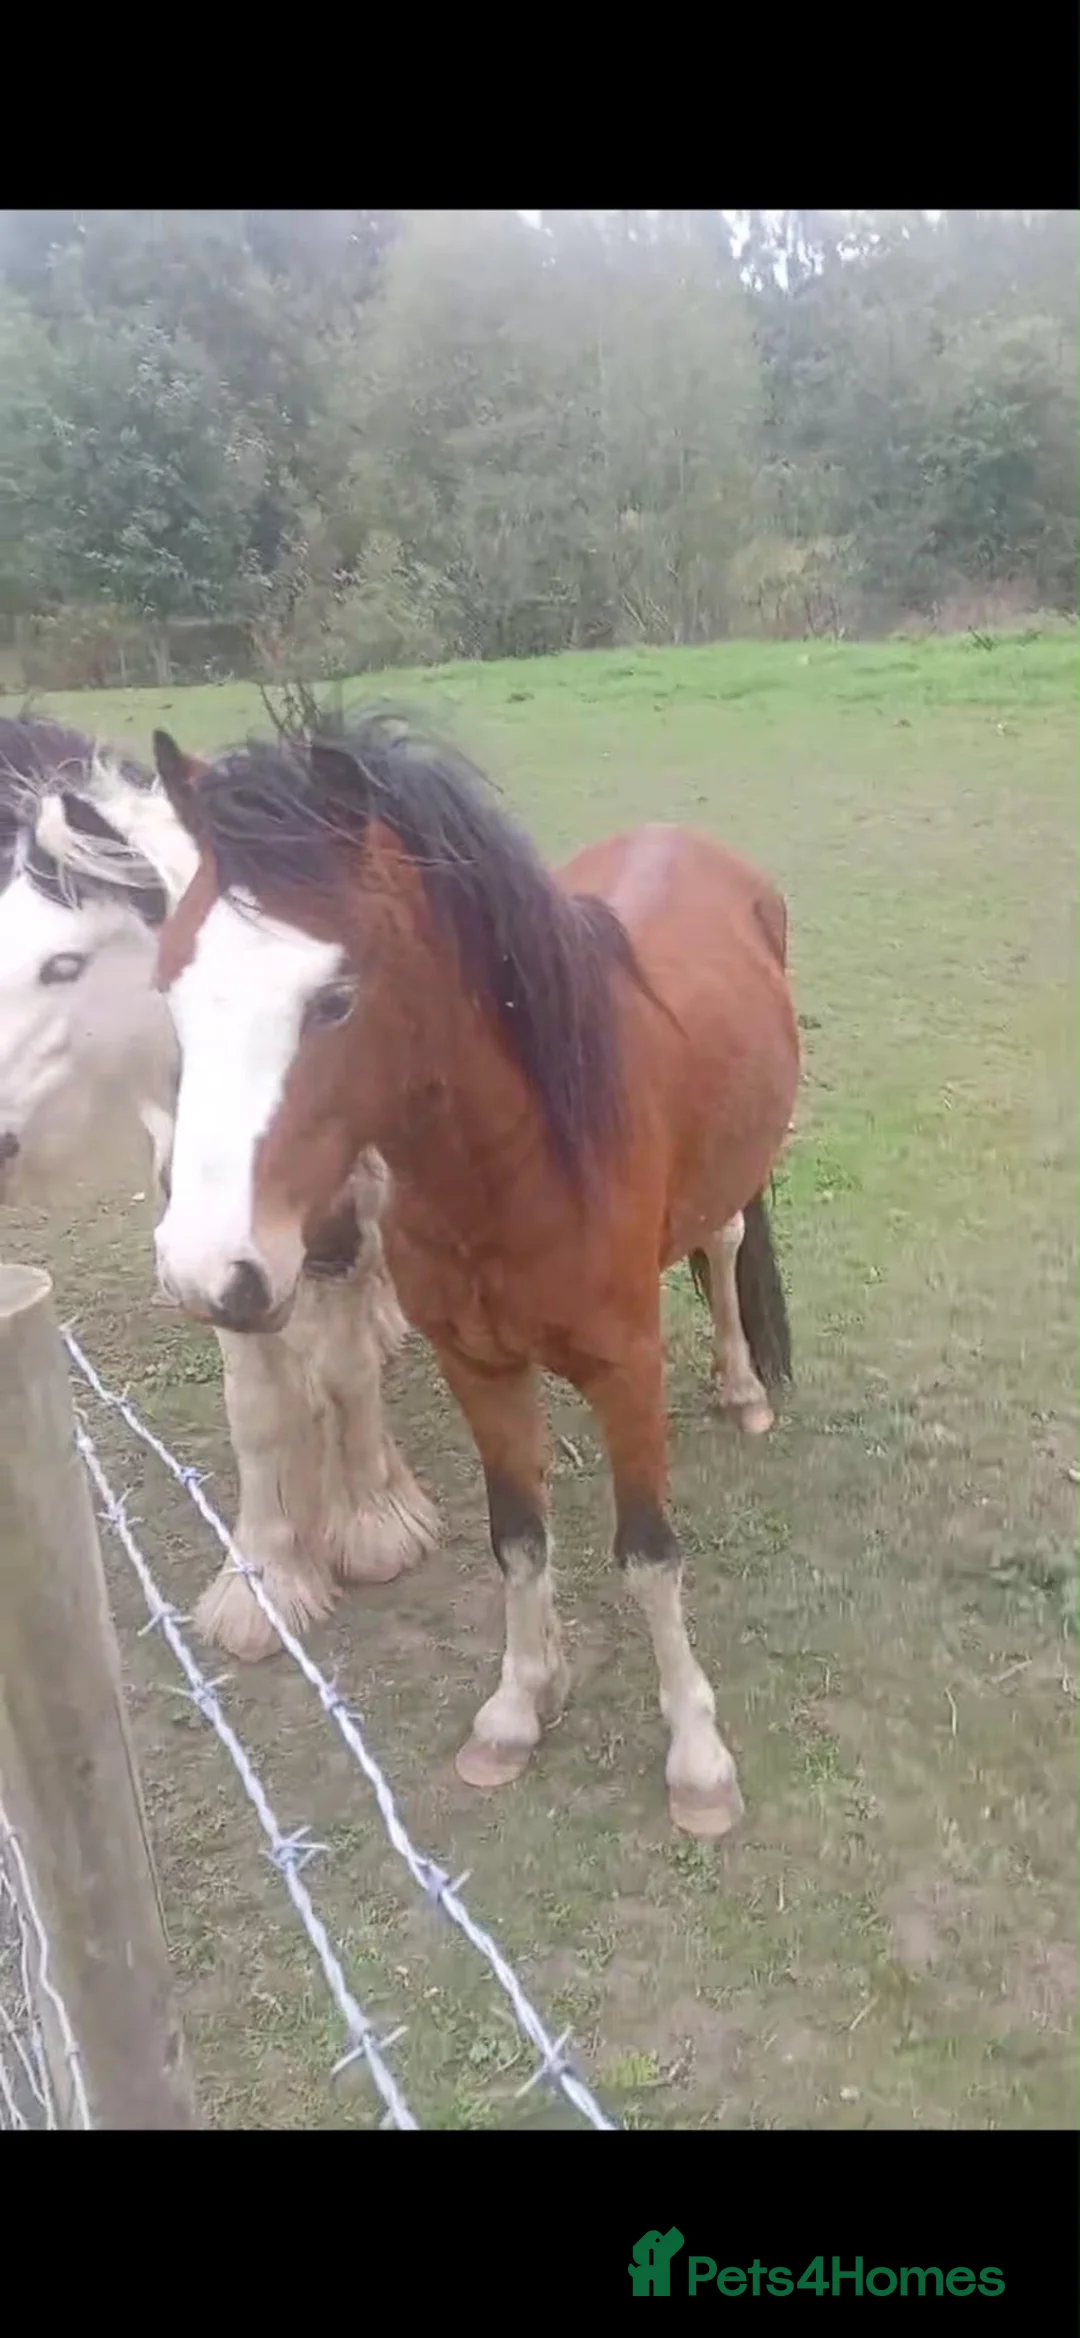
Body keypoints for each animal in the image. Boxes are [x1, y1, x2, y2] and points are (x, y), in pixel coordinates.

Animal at [0, 715, 438, 1659]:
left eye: (62, 965)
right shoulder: (216, 1258)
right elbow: (259, 1407)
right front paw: (268, 1575)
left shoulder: (340, 1228)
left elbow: (344, 1372)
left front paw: (373, 1521)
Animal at [145, 713, 800, 1840]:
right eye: (173, 992)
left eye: (334, 999)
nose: (204, 1269)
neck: (515, 1162)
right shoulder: (477, 1367)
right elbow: (519, 1538)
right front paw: (519, 1704)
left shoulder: (628, 1369)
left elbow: (649, 1555)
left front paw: (697, 1757)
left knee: (719, 1247)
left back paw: (743, 1389)